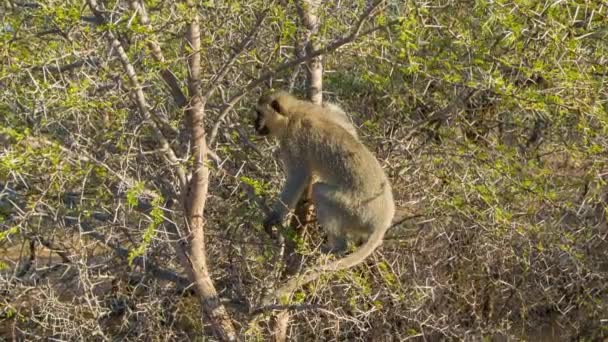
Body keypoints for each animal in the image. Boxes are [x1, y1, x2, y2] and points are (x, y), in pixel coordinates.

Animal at [253, 90, 392, 300]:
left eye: (259, 114)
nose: (254, 124)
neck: (294, 111)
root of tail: (382, 221)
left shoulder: (293, 141)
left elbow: (298, 177)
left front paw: (274, 219)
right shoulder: (328, 113)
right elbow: (347, 125)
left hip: (354, 210)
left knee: (320, 192)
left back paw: (338, 246)